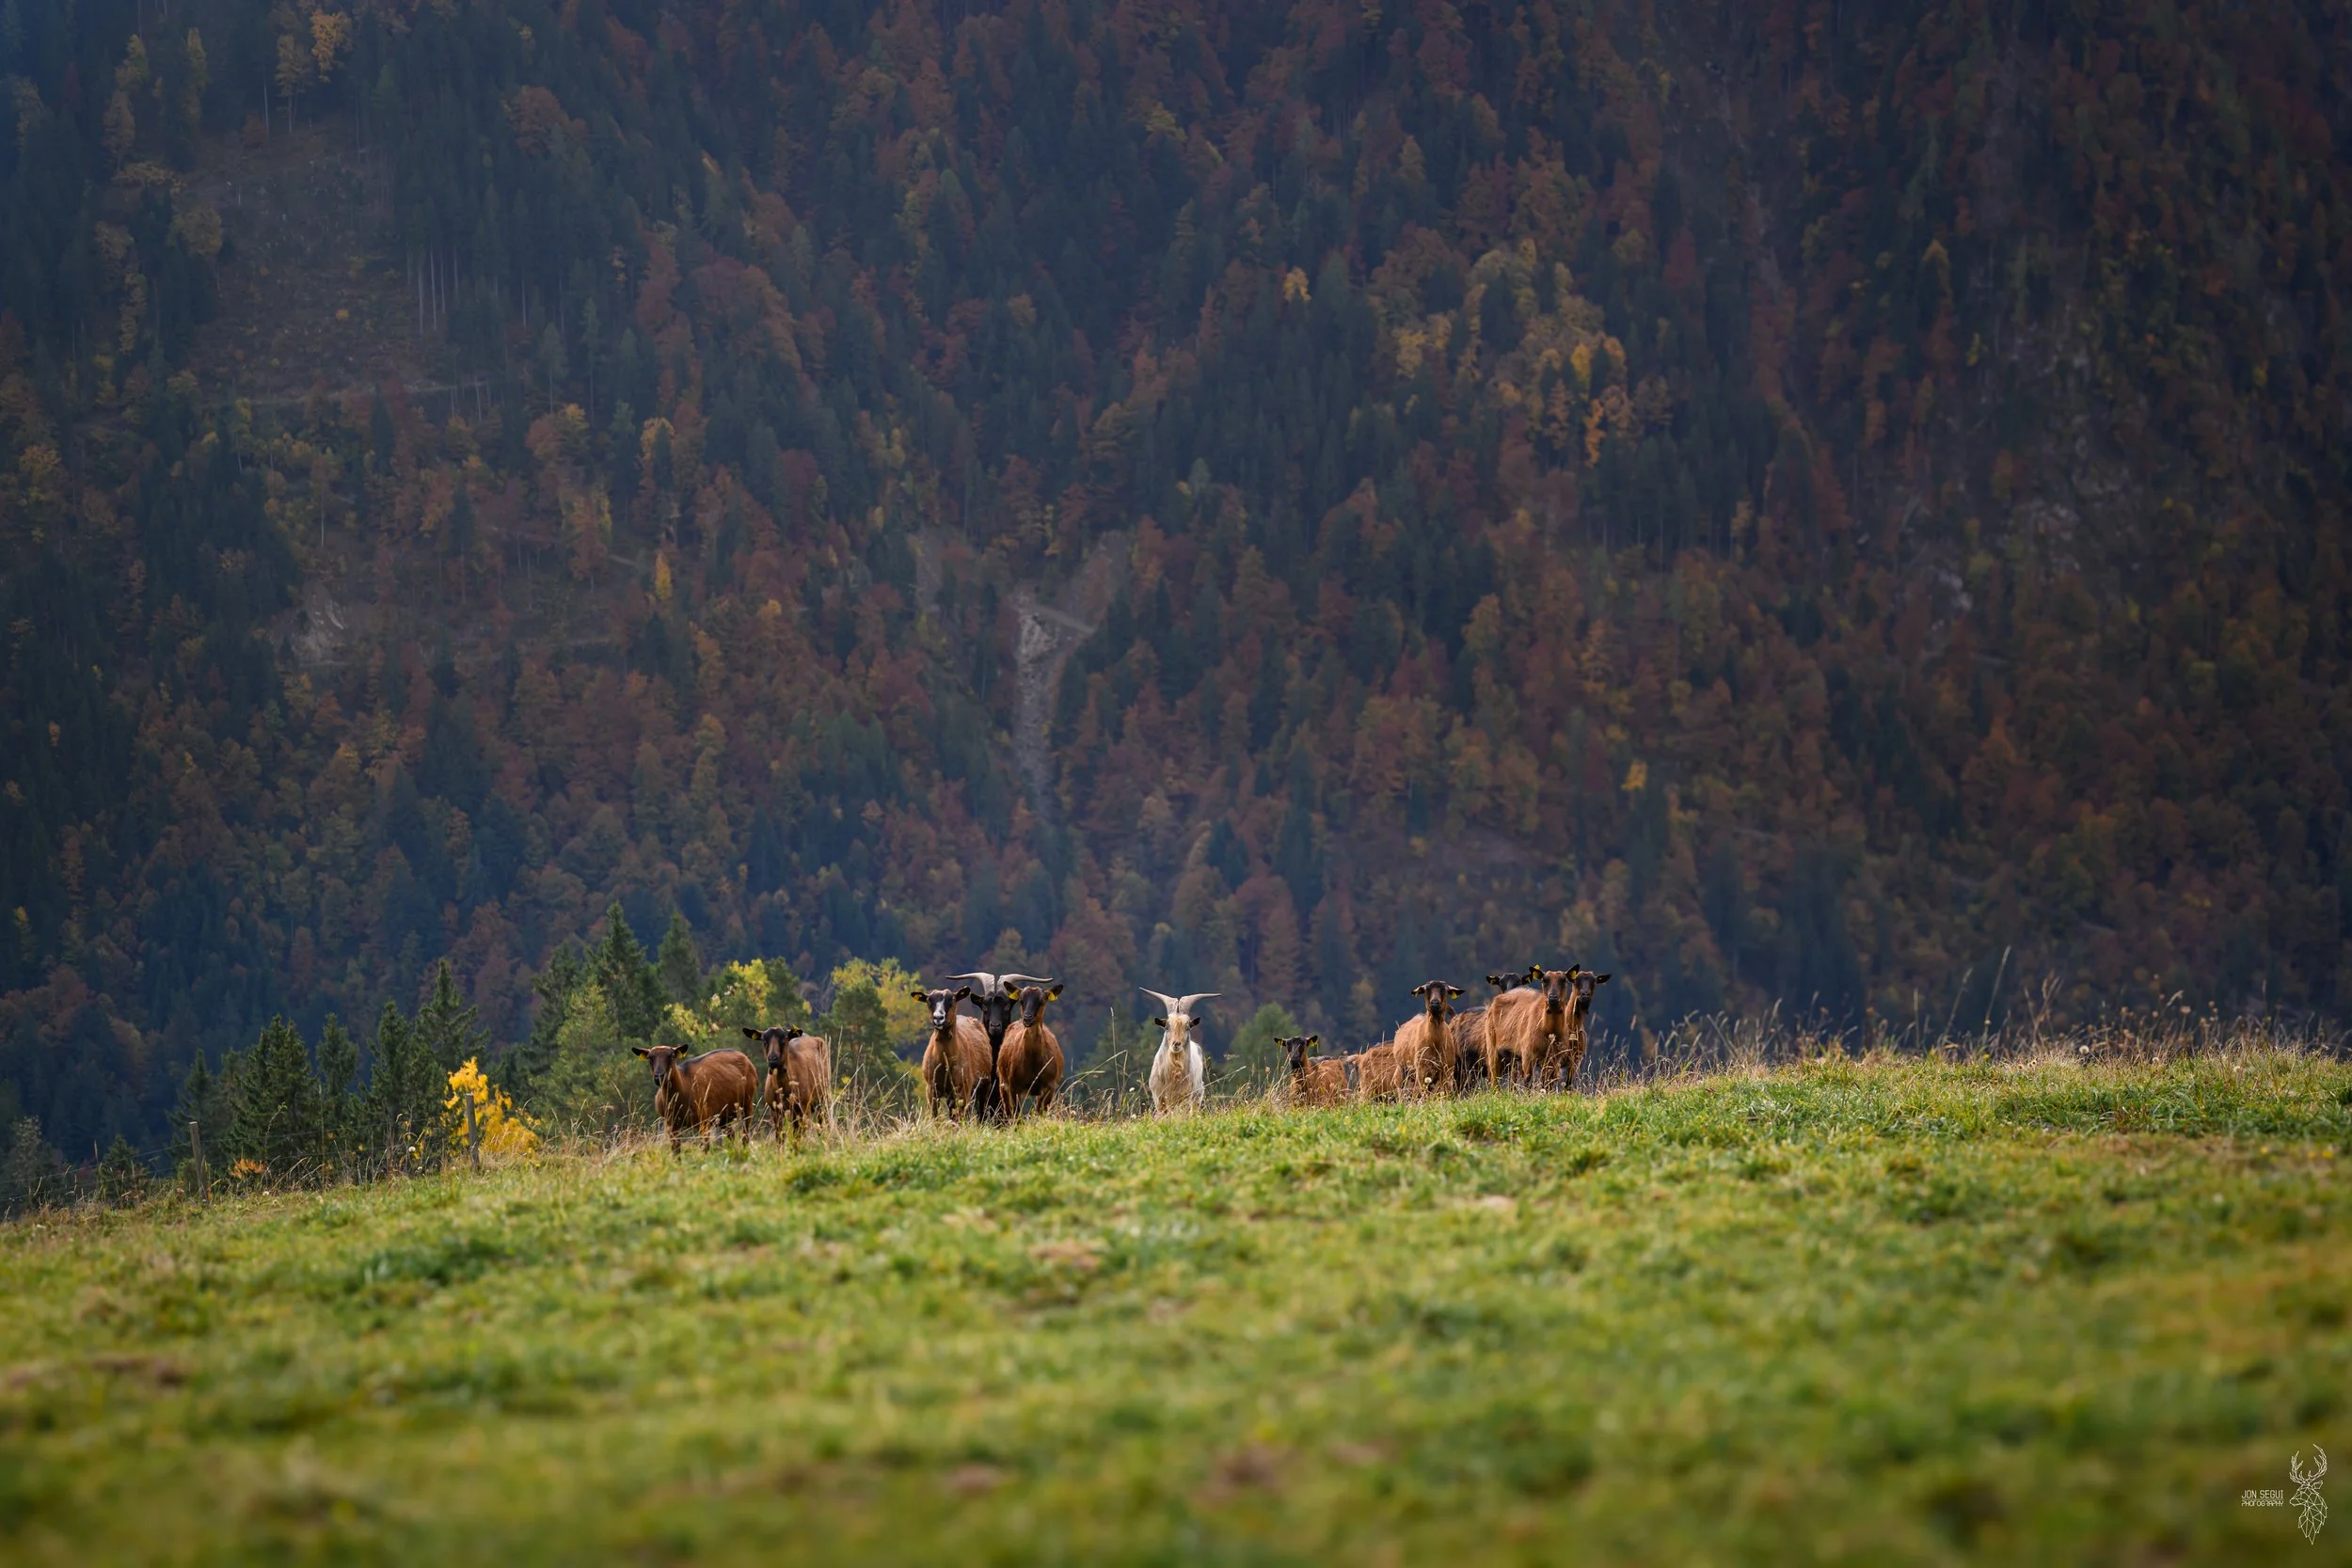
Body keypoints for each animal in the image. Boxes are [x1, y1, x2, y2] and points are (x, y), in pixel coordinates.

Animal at [632, 1043, 759, 1152]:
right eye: (649, 1057)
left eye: (672, 1056)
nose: (659, 1076)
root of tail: (744, 1057)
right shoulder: (672, 1124)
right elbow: (676, 1150)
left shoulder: (704, 1119)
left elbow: (704, 1147)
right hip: (723, 1115)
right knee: (731, 1134)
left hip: (748, 1102)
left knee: (745, 1134)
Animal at [912, 985, 994, 1120]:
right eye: (929, 1001)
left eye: (952, 1000)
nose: (938, 1018)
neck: (944, 1062)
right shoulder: (931, 1089)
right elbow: (934, 1116)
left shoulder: (962, 1088)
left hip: (983, 1086)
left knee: (980, 1113)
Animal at [994, 981, 1065, 1120]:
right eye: (1021, 1000)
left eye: (1042, 1000)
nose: (1027, 1018)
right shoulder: (1013, 1085)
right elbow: (1017, 1115)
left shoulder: (1050, 1085)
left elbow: (1041, 1114)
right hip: (1002, 1082)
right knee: (1008, 1111)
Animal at [1142, 989, 1217, 1115]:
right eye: (1167, 1026)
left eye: (1188, 1027)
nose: (1176, 1044)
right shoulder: (1159, 1098)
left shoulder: (1184, 1097)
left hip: (1197, 1095)